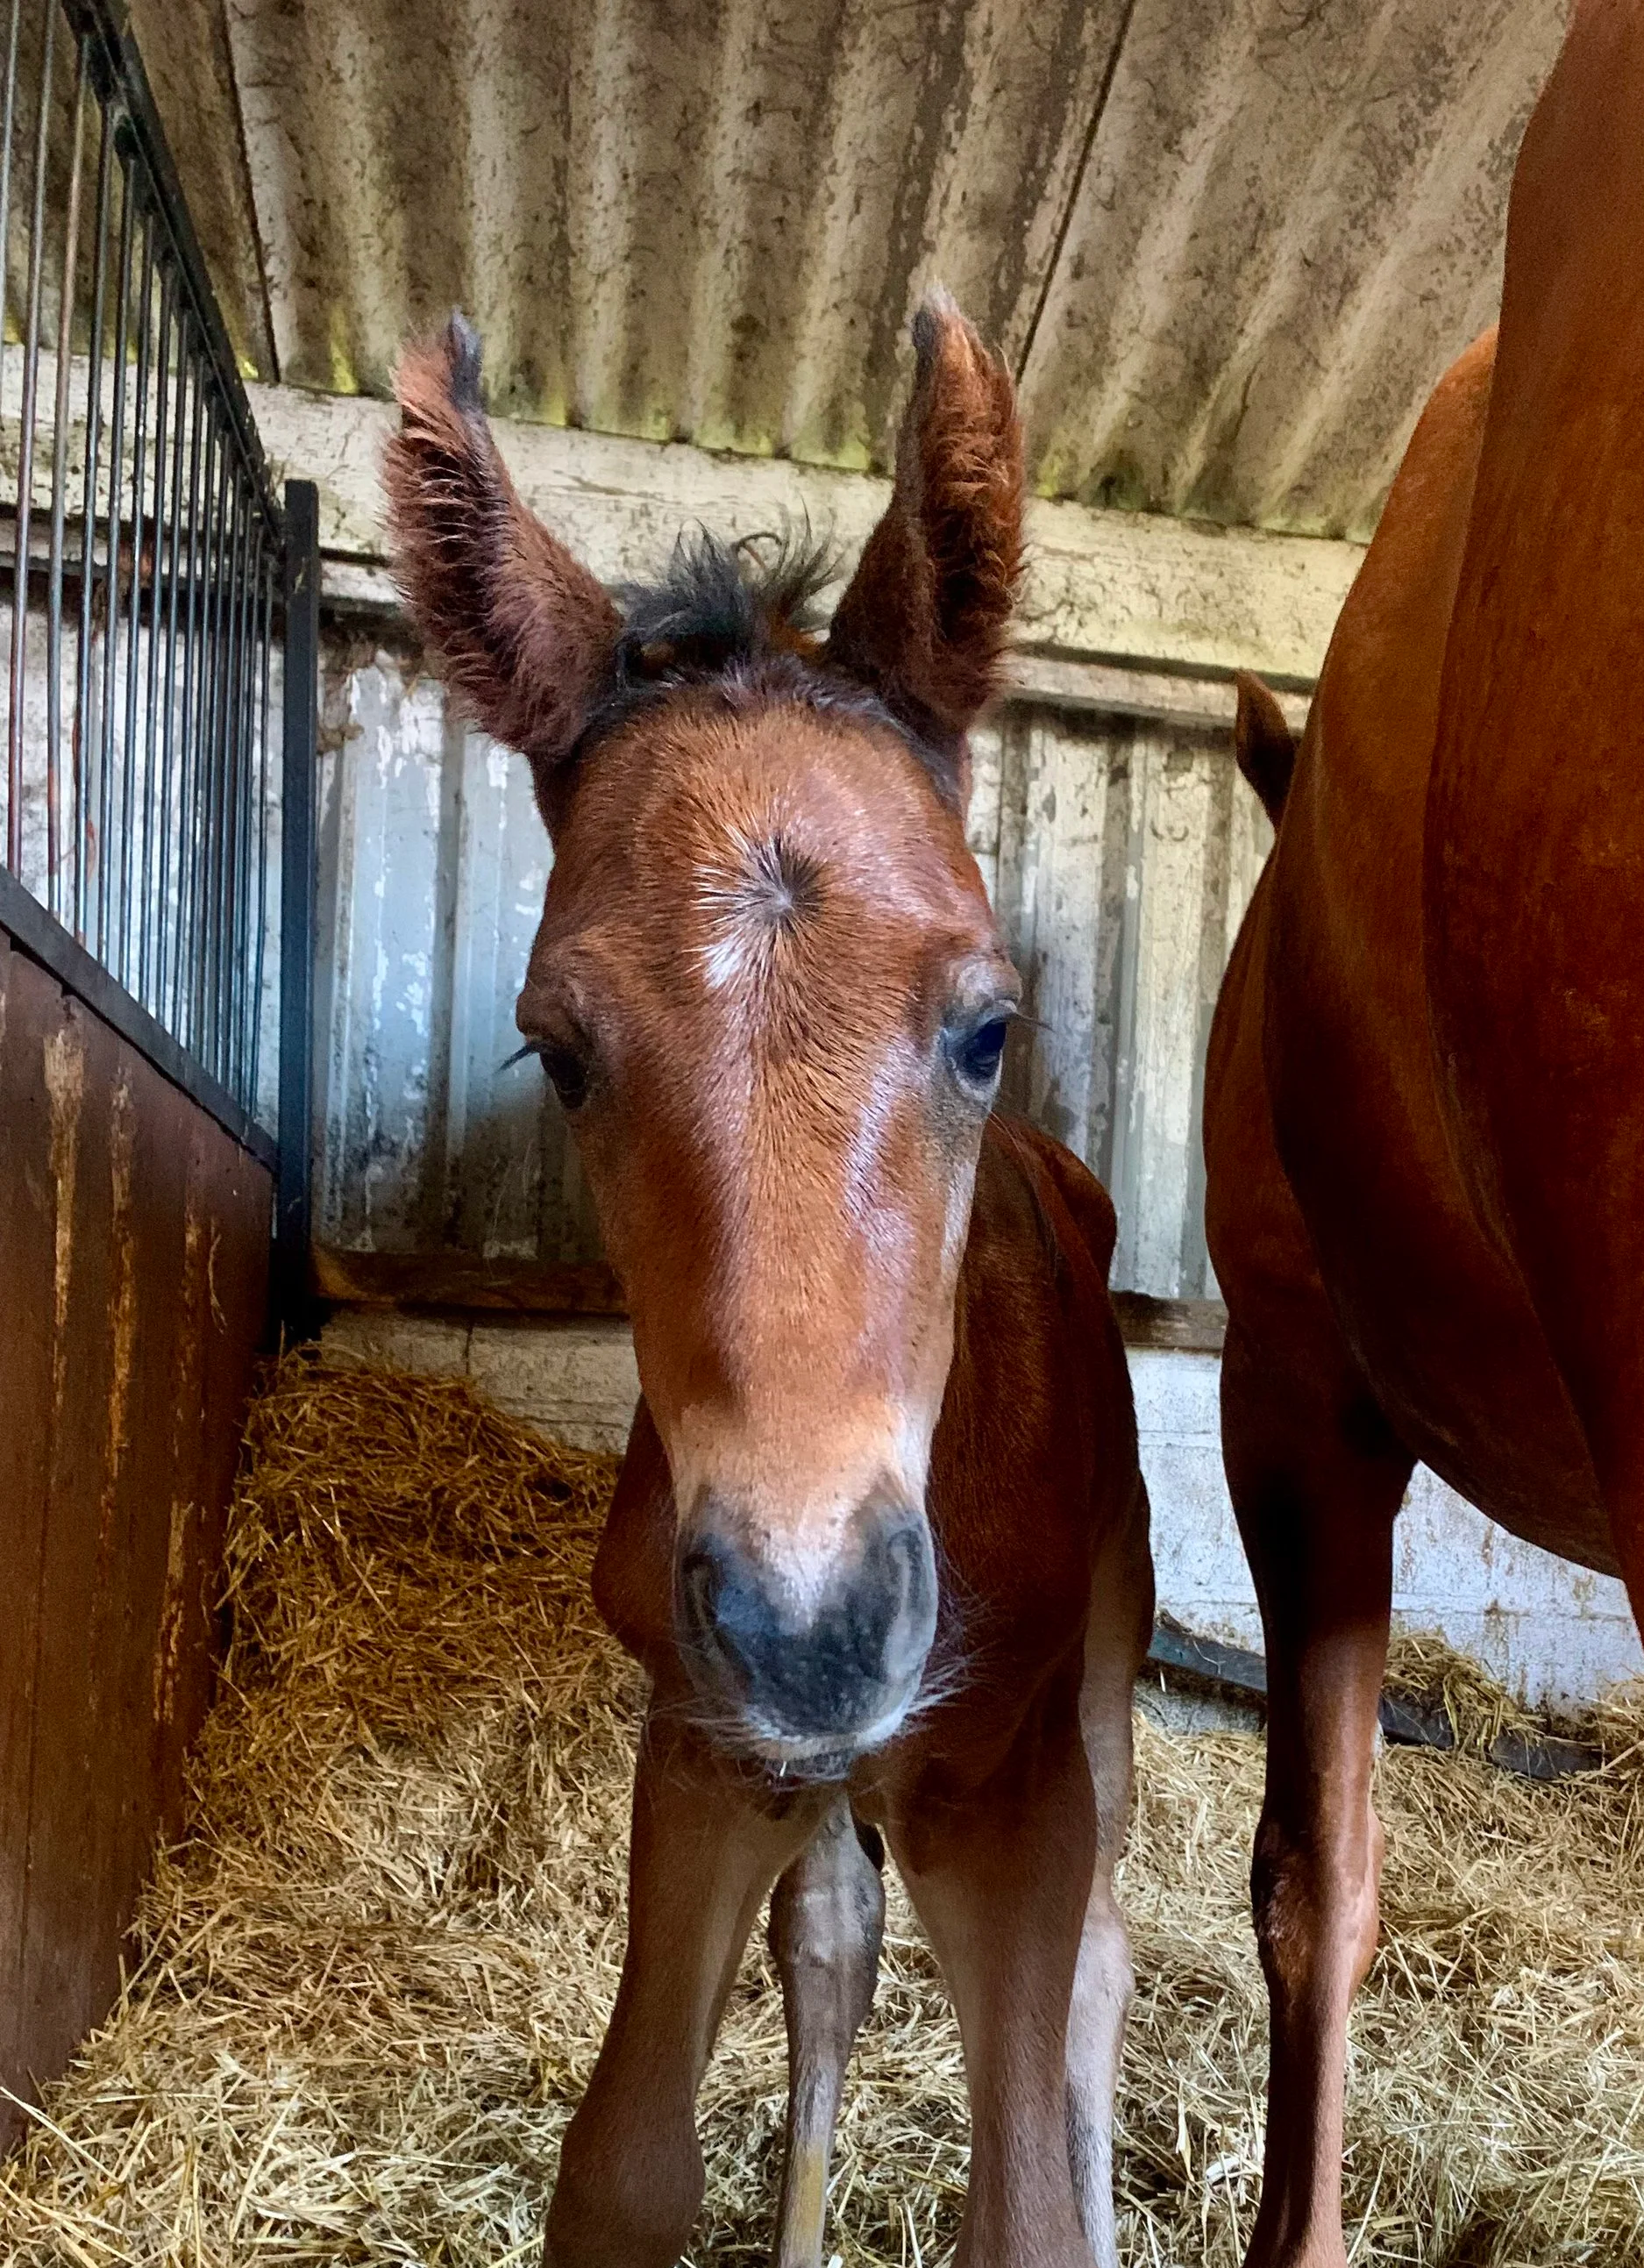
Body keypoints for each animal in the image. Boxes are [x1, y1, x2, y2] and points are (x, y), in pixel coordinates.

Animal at [384, 294, 1153, 2268]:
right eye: (559, 1051)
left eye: (987, 1026)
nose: (812, 1626)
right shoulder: (708, 1744)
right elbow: (626, 2166)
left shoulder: (1005, 1786)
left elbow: (1027, 2202)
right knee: (831, 1949)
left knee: (1103, 1970)